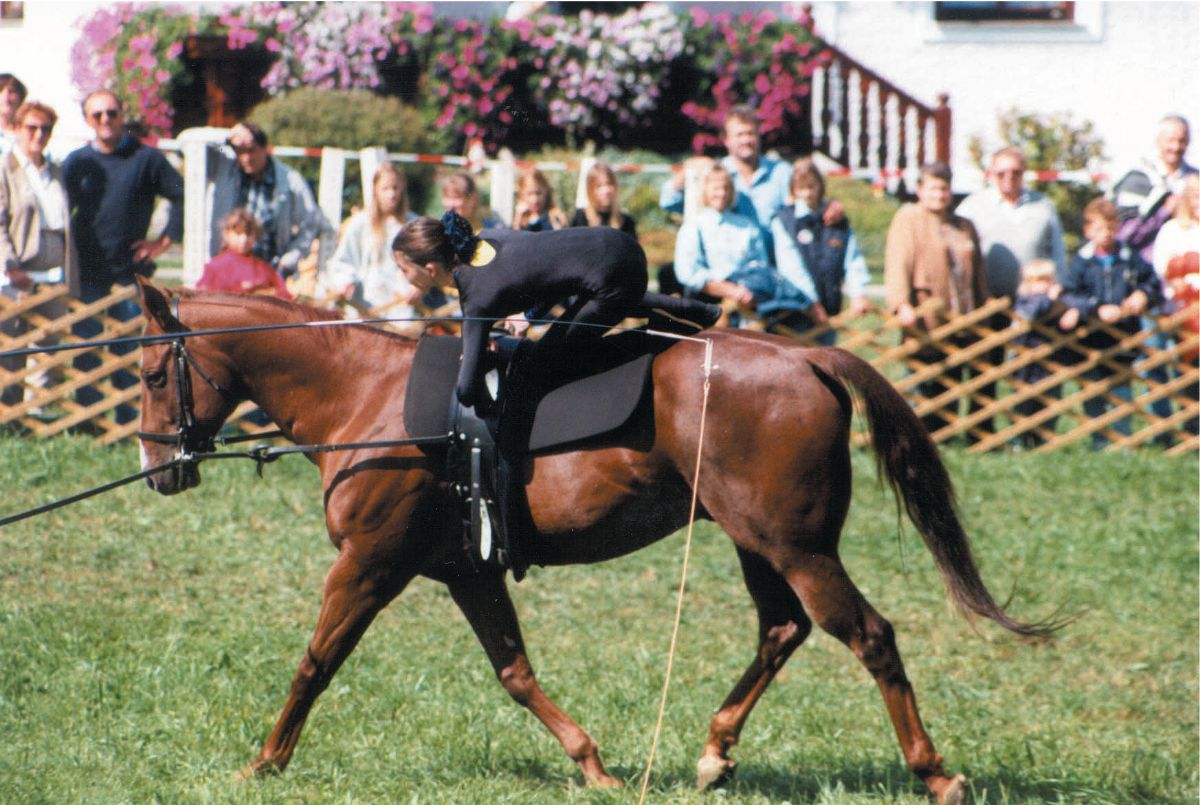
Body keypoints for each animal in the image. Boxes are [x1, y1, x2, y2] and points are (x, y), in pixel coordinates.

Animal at [134, 279, 1056, 805]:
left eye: (146, 374)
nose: (156, 471)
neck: (365, 396)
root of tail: (809, 359)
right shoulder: (464, 570)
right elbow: (514, 671)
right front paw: (593, 765)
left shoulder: (368, 566)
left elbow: (315, 663)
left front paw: (264, 761)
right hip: (758, 541)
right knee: (783, 628)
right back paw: (715, 752)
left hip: (796, 546)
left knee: (866, 634)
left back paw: (934, 771)